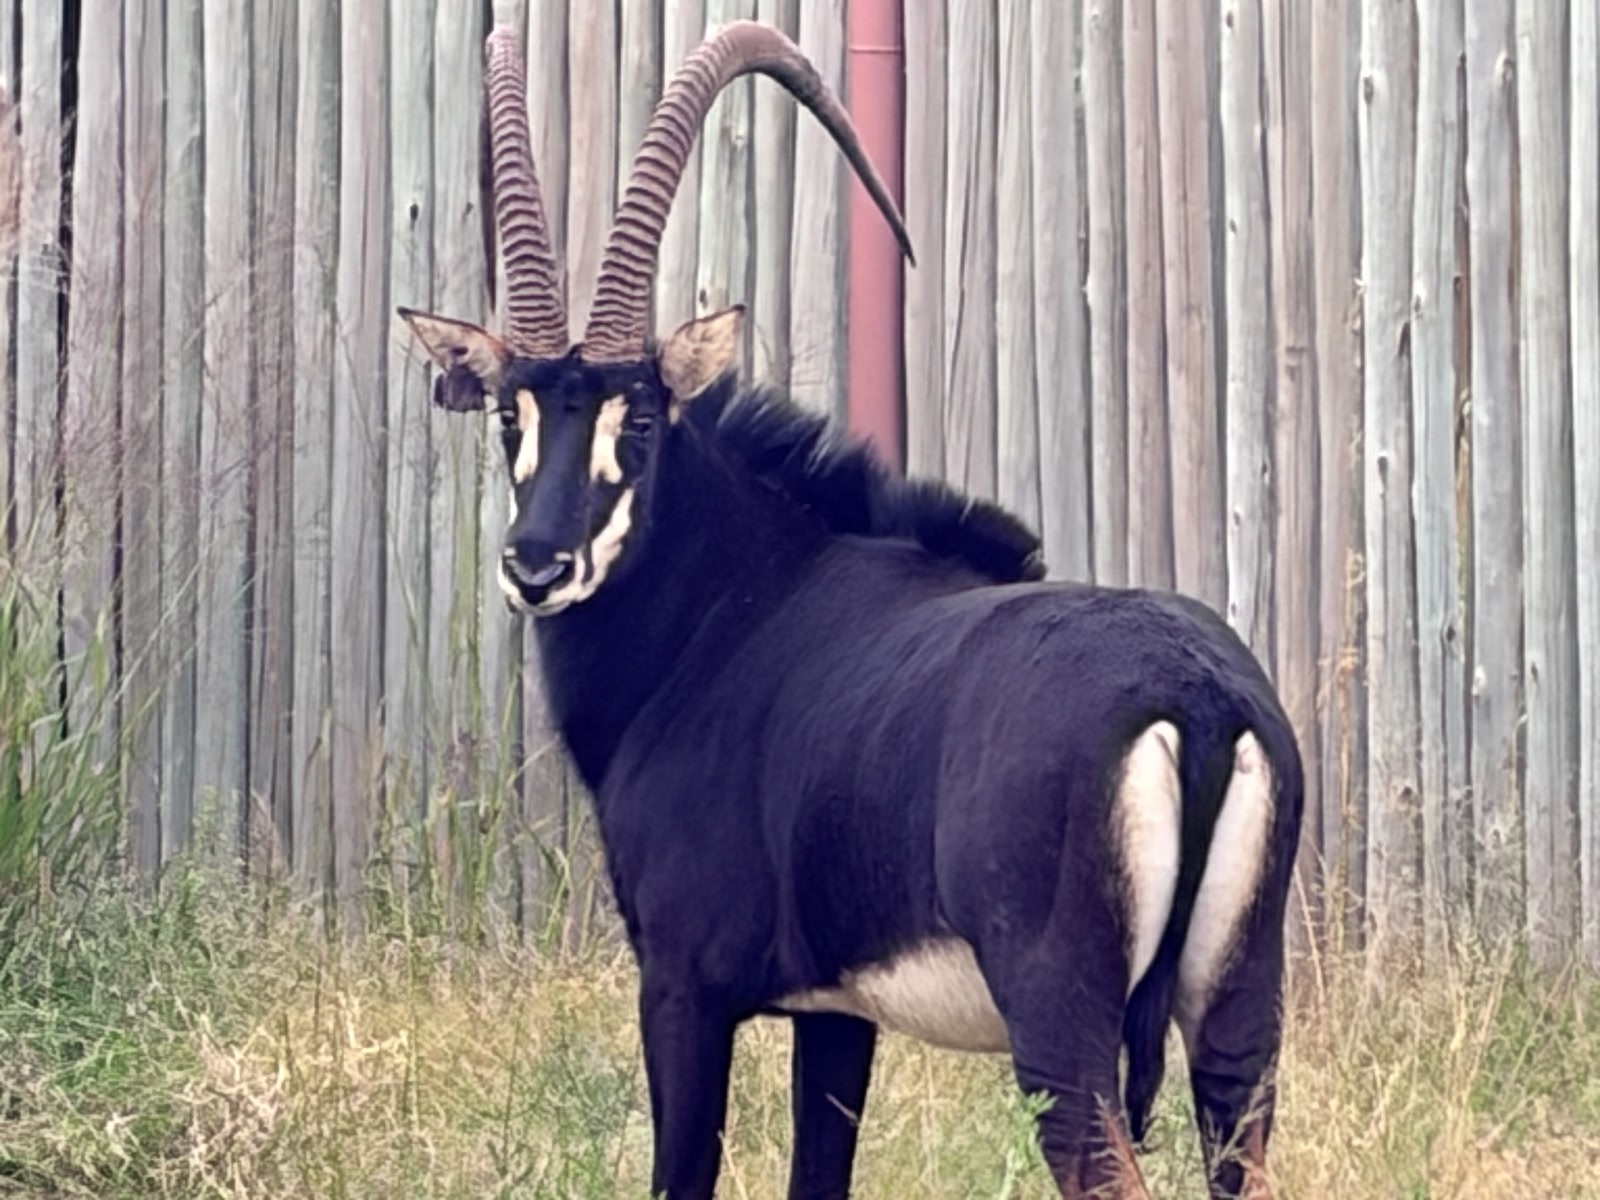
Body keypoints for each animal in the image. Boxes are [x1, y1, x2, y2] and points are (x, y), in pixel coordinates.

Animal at [397, 20, 1303, 1200]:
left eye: (637, 415)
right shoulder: (838, 1015)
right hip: (1238, 1019)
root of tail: (1194, 701)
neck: (731, 608)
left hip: (1058, 1026)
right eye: (511, 414)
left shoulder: (683, 988)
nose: (537, 566)